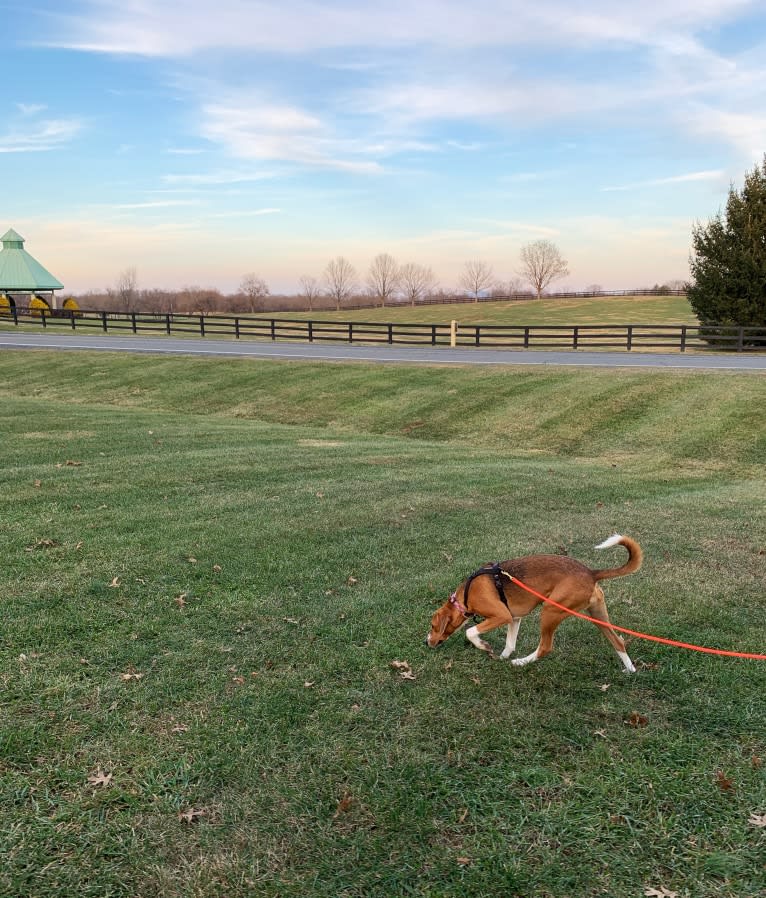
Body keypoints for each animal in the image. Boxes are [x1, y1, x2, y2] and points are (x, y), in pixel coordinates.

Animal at [426, 532, 640, 672]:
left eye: (433, 626)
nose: (426, 642)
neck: (466, 594)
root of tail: (591, 573)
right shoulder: (514, 618)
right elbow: (510, 644)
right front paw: (501, 657)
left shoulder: (501, 616)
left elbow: (470, 631)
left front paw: (483, 646)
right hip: (597, 614)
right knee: (619, 641)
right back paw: (630, 670)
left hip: (550, 610)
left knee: (545, 647)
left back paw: (521, 662)